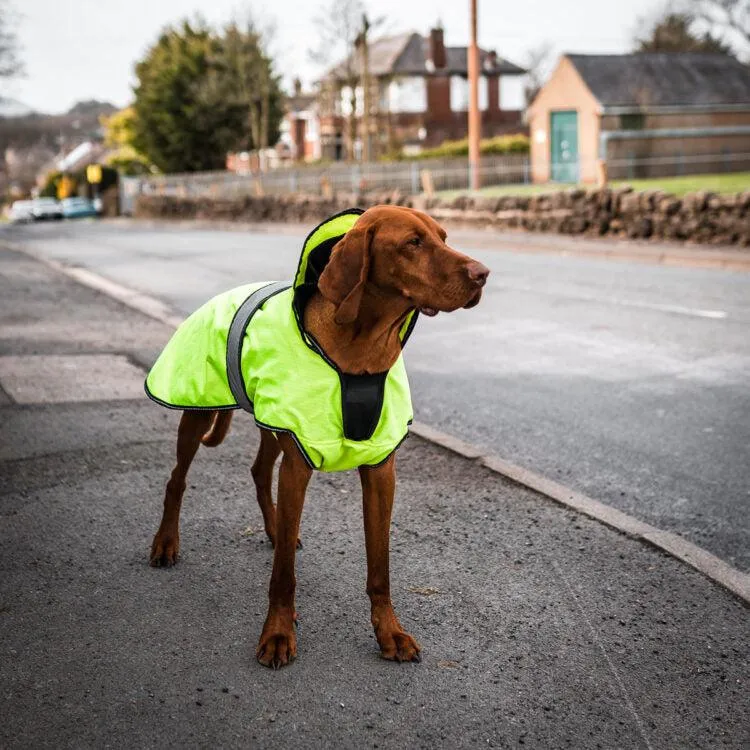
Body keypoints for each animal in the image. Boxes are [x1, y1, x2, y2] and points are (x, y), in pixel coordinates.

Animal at [150, 204, 490, 668]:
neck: (361, 348)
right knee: (177, 478)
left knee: (259, 471)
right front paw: (277, 634)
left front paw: (390, 632)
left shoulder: (381, 471)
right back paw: (166, 542)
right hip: (200, 415)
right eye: (413, 243)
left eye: (443, 236)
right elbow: (283, 575)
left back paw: (277, 531)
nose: (483, 274)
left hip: (273, 425)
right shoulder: (298, 466)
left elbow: (380, 567)